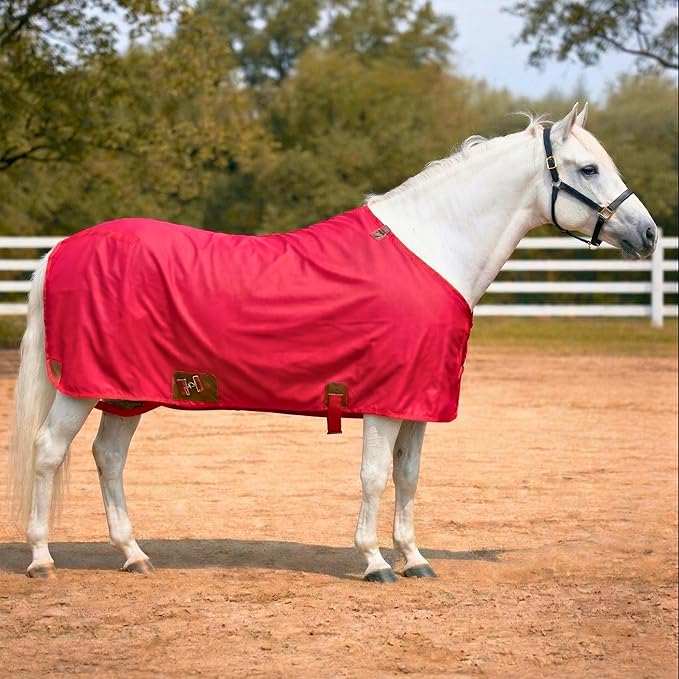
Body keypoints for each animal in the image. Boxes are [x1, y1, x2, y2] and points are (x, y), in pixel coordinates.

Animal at [8, 103, 657, 582]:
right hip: (80, 389)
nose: (649, 234)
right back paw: (41, 559)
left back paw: (134, 556)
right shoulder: (382, 401)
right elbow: (373, 476)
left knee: (108, 457)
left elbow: (408, 476)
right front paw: (374, 563)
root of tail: (62, 248)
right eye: (589, 169)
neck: (432, 248)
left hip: (128, 390)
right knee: (48, 452)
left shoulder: (416, 401)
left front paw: (415, 559)